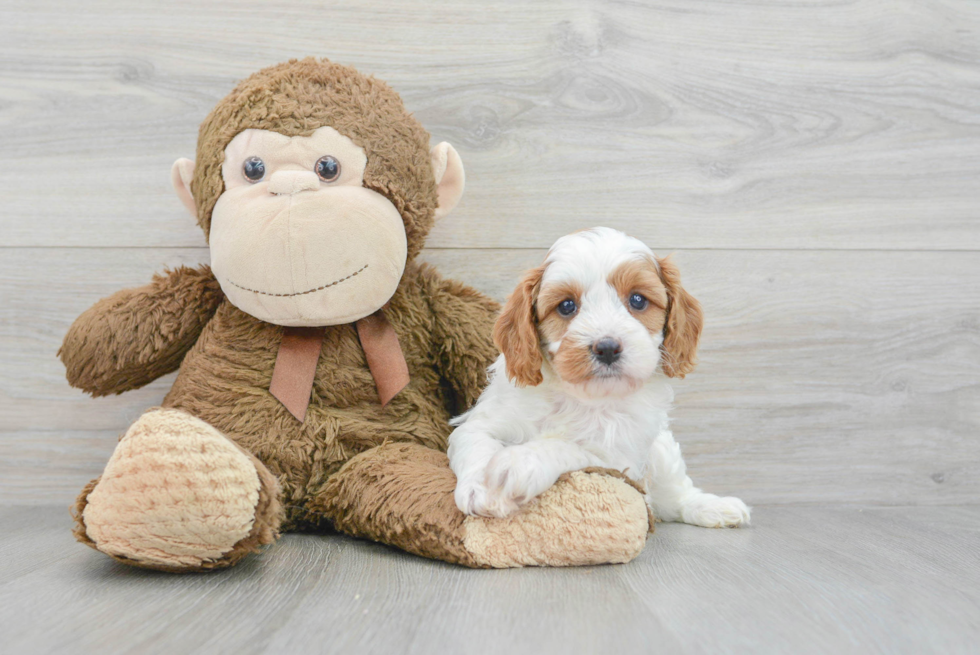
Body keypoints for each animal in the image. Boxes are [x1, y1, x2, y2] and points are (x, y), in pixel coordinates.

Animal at [448, 228, 756, 532]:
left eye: (638, 300)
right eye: (567, 306)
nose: (607, 347)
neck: (580, 396)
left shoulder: (616, 459)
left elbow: (567, 446)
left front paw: (519, 463)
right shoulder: (483, 421)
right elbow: (476, 442)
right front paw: (480, 488)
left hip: (662, 451)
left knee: (675, 496)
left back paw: (714, 507)